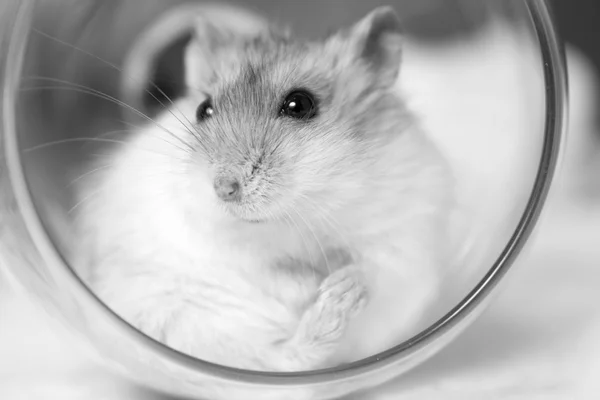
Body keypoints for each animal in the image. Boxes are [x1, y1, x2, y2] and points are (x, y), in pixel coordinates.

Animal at [71, 4, 454, 370]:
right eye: (203, 109)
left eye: (300, 104)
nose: (223, 188)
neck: (290, 220)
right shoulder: (206, 234)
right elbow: (263, 267)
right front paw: (315, 285)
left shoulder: (406, 234)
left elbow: (375, 267)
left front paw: (345, 282)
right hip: (180, 325)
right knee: (280, 359)